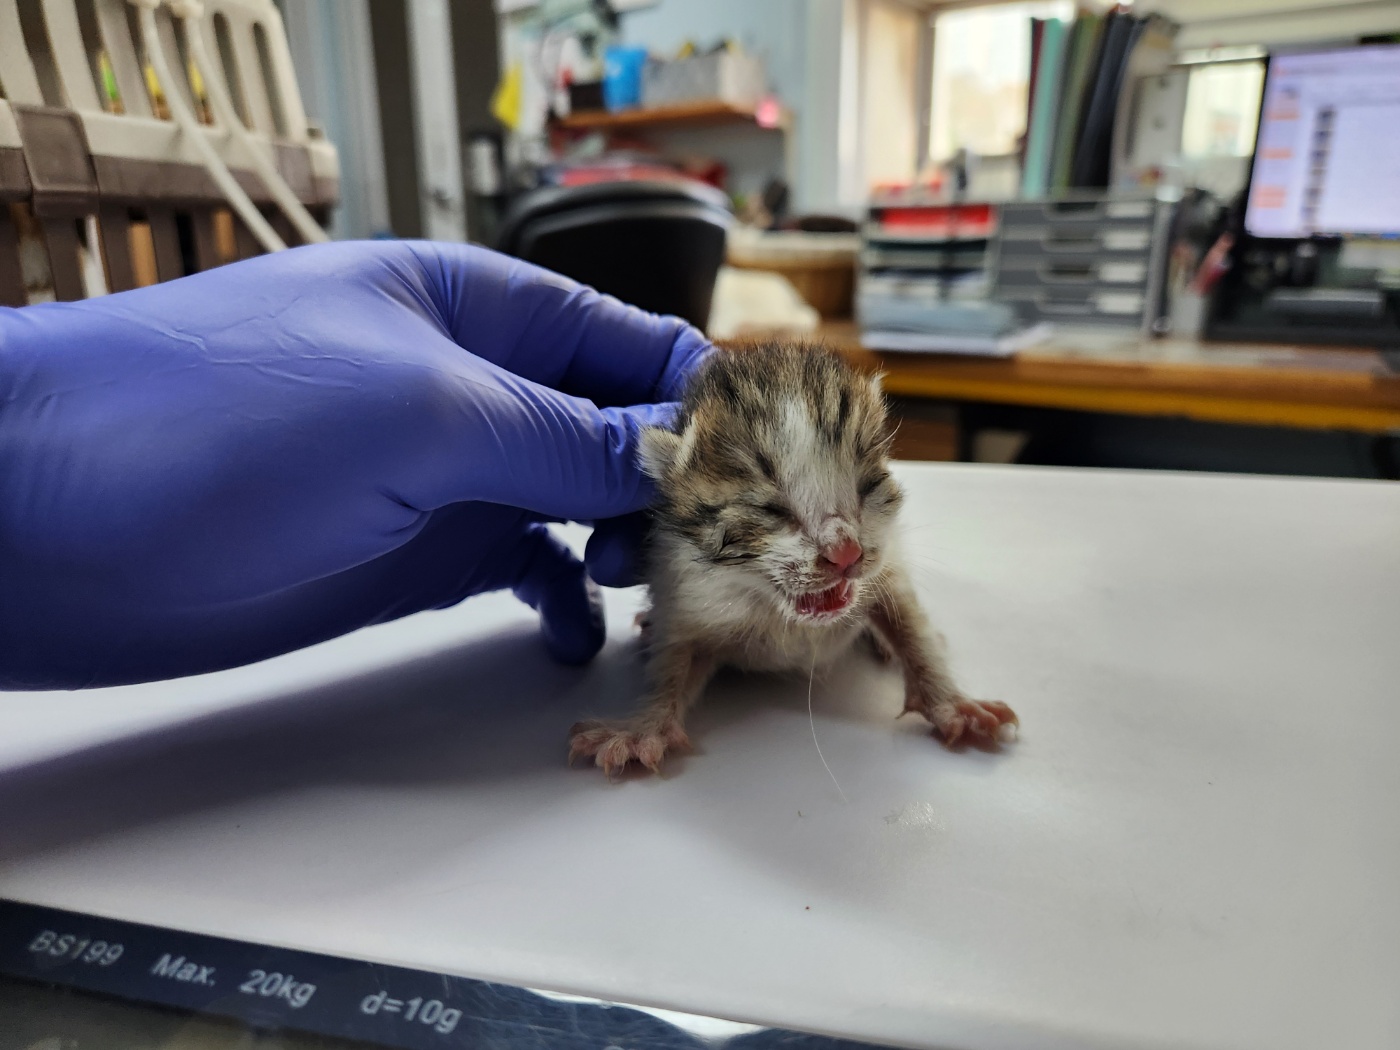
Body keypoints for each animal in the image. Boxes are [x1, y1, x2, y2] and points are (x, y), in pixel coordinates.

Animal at [568, 341, 1019, 778]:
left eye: (868, 487)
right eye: (771, 509)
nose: (846, 553)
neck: (779, 613)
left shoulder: (888, 569)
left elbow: (911, 628)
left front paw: (952, 703)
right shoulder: (682, 590)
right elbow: (673, 662)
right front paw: (641, 729)